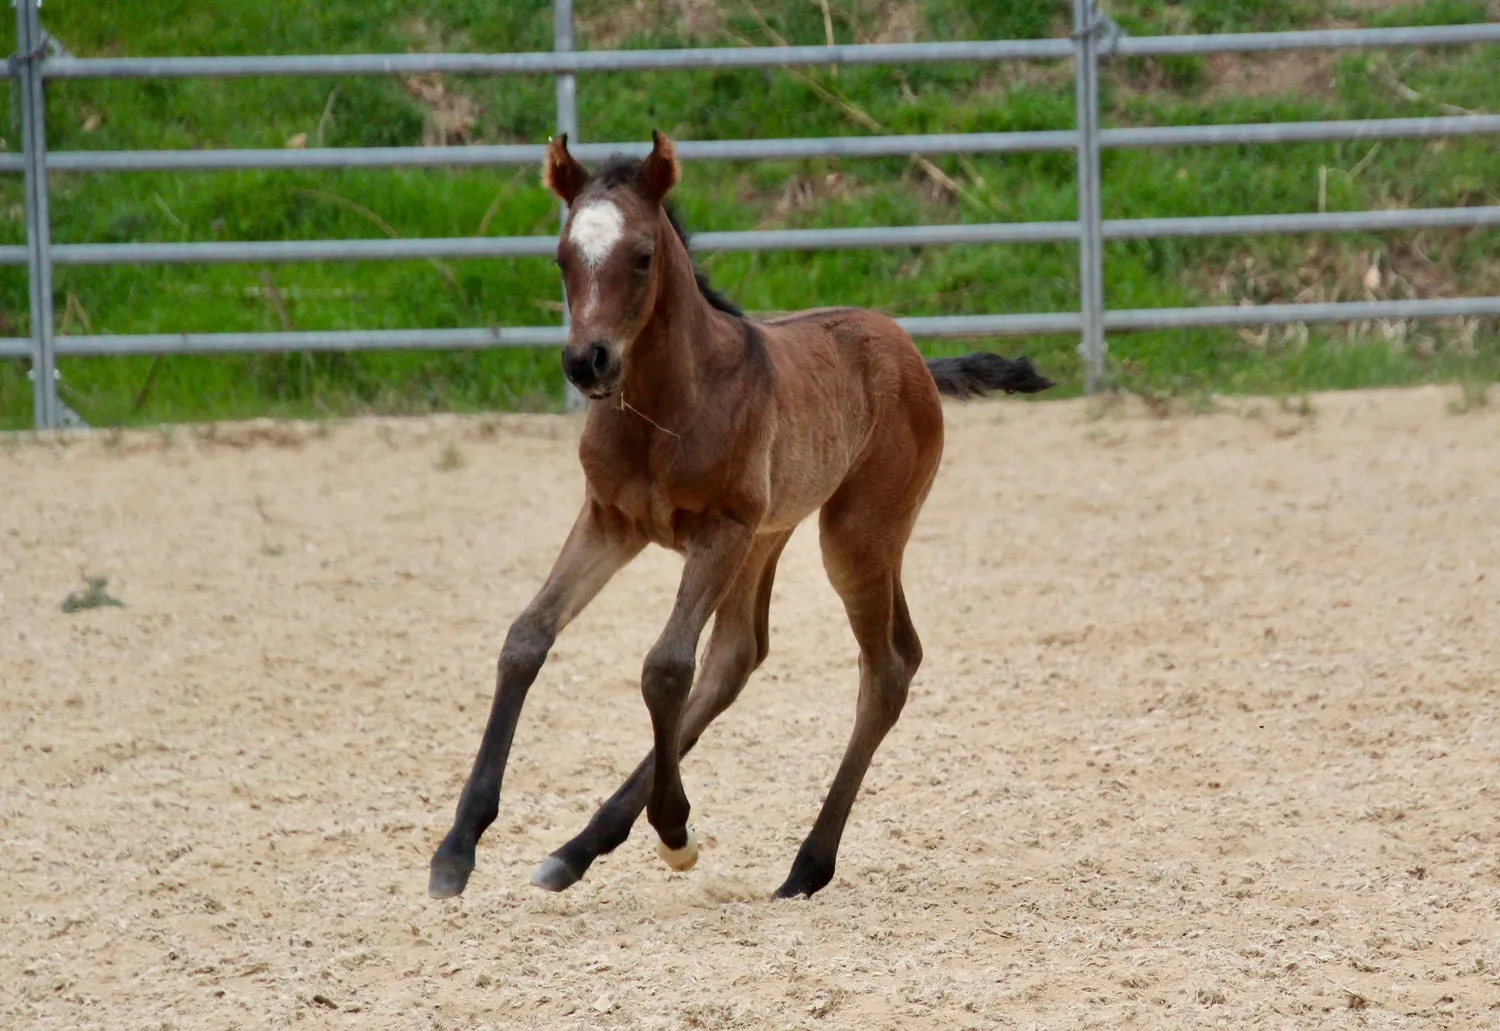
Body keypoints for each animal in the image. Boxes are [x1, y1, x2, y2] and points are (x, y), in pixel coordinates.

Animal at [428, 130, 1053, 900]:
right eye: (562, 257)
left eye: (642, 256)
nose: (586, 362)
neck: (663, 408)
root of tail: (911, 352)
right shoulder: (609, 520)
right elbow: (527, 637)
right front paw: (456, 847)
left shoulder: (717, 529)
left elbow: (664, 667)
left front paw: (675, 831)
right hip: (774, 535)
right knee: (741, 654)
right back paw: (577, 849)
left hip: (855, 531)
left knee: (885, 666)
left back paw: (805, 866)